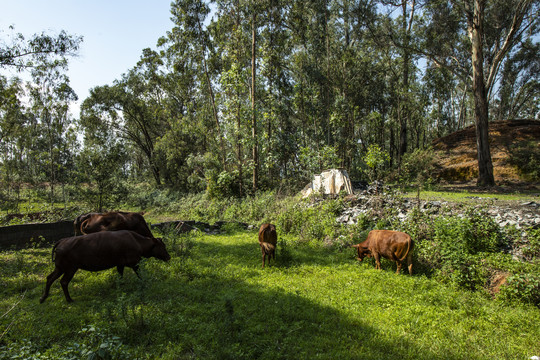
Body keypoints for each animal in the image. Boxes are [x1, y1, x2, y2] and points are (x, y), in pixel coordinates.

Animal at [39, 229, 170, 302]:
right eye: (162, 246)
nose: (168, 256)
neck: (137, 241)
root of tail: (61, 241)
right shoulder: (134, 263)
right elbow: (140, 275)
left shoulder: (120, 264)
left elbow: (120, 277)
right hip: (70, 269)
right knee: (63, 282)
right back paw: (69, 299)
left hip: (60, 268)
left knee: (50, 278)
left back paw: (44, 297)